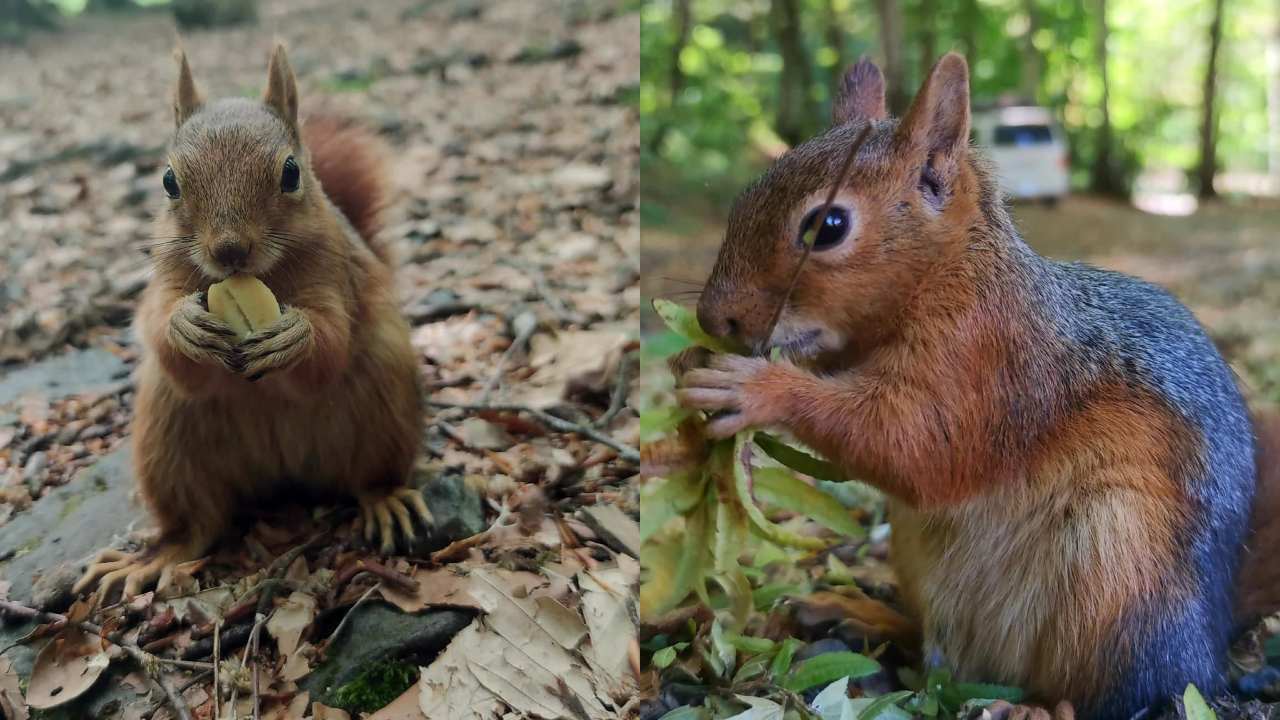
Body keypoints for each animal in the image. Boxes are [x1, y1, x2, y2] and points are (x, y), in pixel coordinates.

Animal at [74, 43, 430, 594]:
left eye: (291, 173)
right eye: (168, 181)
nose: (229, 251)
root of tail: (281, 470)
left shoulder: (336, 275)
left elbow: (331, 340)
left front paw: (295, 337)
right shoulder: (164, 277)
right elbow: (157, 324)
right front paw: (182, 325)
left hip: (383, 408)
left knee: (368, 478)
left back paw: (387, 500)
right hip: (168, 441)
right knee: (199, 522)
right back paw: (155, 557)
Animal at [675, 53, 1274, 712]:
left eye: (827, 226)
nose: (712, 317)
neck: (949, 273)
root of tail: (1206, 653)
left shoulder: (989, 363)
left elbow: (914, 444)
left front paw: (752, 388)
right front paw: (693, 361)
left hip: (1113, 578)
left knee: (1104, 691)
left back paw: (1036, 707)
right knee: (938, 651)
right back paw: (858, 612)